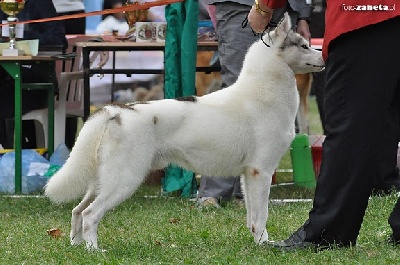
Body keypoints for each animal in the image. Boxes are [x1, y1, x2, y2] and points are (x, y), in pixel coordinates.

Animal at [44, 13, 324, 250]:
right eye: (304, 46)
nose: (324, 56)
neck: (263, 91)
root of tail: (115, 112)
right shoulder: (261, 171)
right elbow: (262, 214)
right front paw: (265, 245)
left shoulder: (248, 175)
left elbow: (253, 217)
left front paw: (258, 242)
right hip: (124, 179)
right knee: (90, 214)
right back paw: (94, 250)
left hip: (102, 180)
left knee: (78, 211)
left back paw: (77, 247)